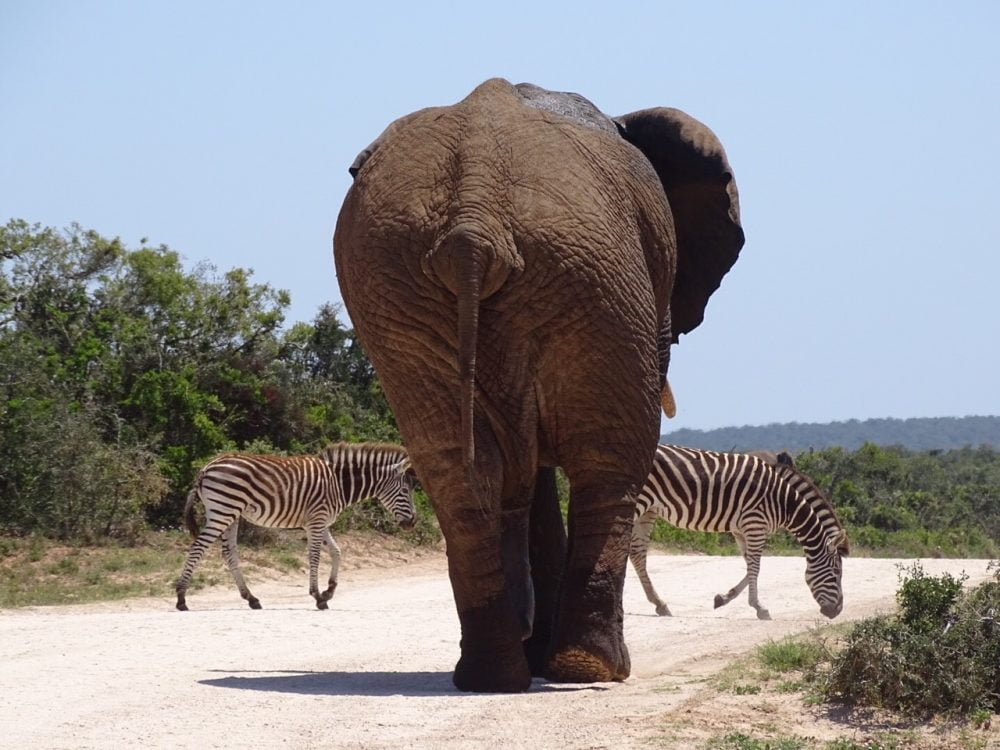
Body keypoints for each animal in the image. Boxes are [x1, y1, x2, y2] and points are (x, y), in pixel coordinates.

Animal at [174, 444, 416, 612]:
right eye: (405, 490)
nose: (412, 523)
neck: (338, 484)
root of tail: (206, 468)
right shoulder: (317, 520)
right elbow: (315, 556)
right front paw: (318, 596)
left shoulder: (320, 522)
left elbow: (337, 552)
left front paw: (329, 591)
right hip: (223, 510)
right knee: (198, 547)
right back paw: (181, 598)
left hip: (230, 514)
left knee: (229, 553)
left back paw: (251, 598)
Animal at [334, 78, 744, 692]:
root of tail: (474, 219)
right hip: (594, 275)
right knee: (610, 460)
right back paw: (593, 668)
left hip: (393, 284)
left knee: (459, 472)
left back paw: (492, 676)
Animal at [628, 446, 848, 624]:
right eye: (836, 573)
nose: (837, 611)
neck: (783, 501)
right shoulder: (755, 524)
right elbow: (756, 567)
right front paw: (760, 608)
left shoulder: (742, 529)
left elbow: (749, 565)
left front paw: (723, 598)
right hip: (639, 502)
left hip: (648, 510)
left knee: (637, 554)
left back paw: (659, 603)